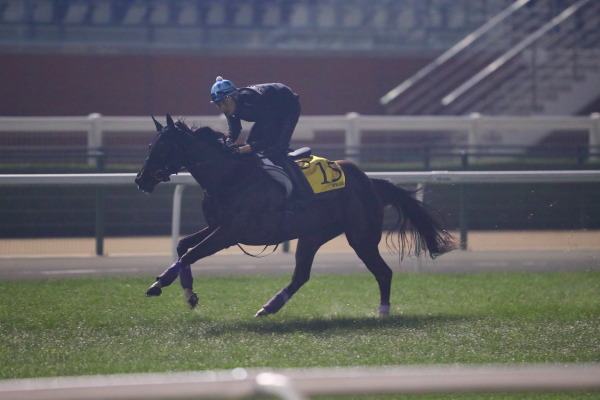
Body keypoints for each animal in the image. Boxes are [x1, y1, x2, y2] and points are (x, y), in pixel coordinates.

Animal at [135, 114, 454, 318]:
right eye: (151, 146)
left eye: (165, 147)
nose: (141, 180)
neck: (229, 177)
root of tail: (370, 181)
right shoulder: (217, 226)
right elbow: (182, 246)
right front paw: (187, 293)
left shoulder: (230, 232)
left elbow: (191, 253)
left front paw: (158, 284)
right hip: (313, 235)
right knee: (301, 274)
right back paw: (269, 307)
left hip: (361, 236)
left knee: (383, 272)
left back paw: (383, 312)